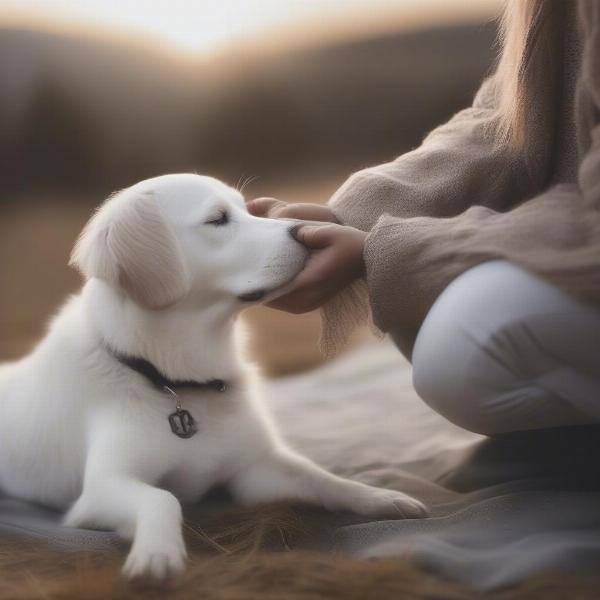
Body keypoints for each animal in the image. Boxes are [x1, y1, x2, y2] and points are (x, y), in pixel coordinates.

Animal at [0, 176, 426, 580]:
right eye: (218, 219)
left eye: (248, 210)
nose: (305, 230)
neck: (180, 382)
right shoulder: (101, 489)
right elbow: (162, 498)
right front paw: (158, 553)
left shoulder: (256, 470)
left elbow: (320, 477)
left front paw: (378, 497)